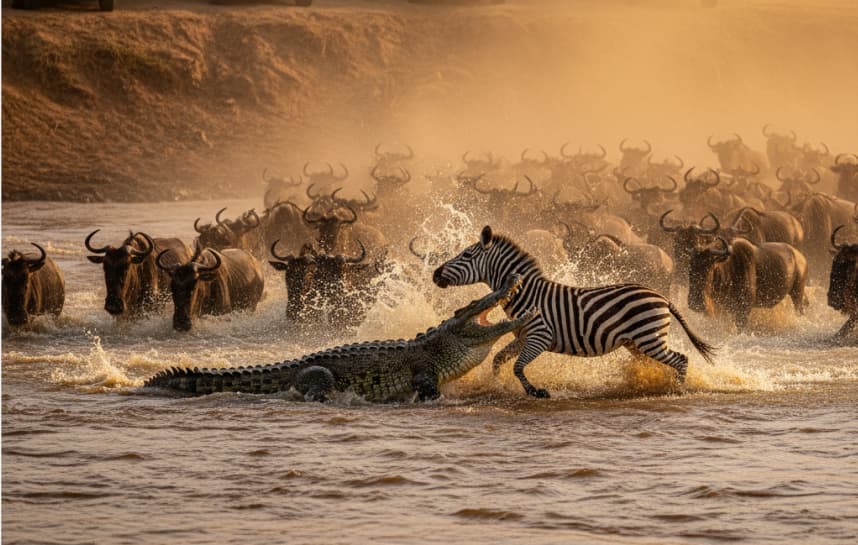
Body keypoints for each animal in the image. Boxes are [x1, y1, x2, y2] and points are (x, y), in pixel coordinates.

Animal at [432, 225, 715, 398]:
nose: (435, 274)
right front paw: (499, 386)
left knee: (681, 359)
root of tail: (663, 297)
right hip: (637, 342)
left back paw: (675, 391)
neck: (527, 294)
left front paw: (536, 392)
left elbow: (519, 367)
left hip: (649, 338)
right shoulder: (522, 337)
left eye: (466, 255)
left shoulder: (540, 336)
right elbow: (499, 360)